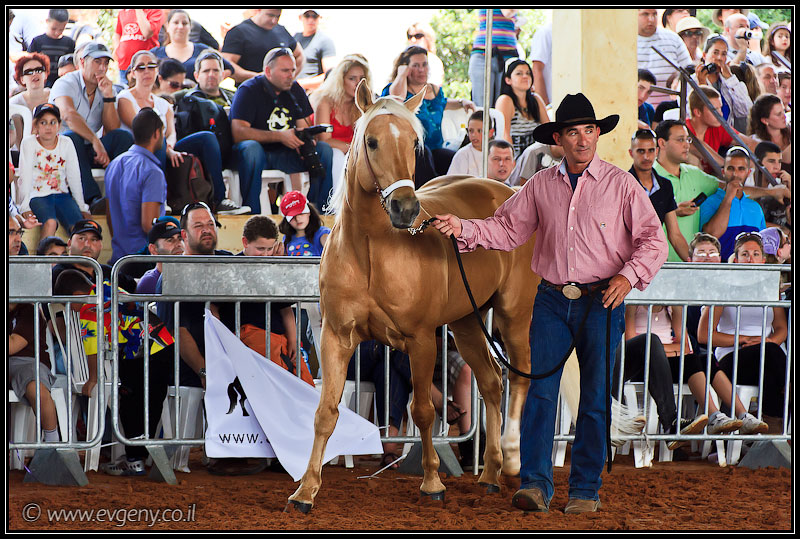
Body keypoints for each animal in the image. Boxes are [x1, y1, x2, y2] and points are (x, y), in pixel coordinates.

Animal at [287, 81, 548, 511]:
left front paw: (432, 482)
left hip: (514, 314)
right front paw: (305, 491)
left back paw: (511, 458)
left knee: (519, 376)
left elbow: (423, 411)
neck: (371, 250)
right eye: (371, 141)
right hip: (466, 324)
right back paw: (490, 474)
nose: (405, 208)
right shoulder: (336, 338)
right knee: (491, 381)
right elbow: (325, 412)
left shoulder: (421, 340)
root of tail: (510, 189)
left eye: (413, 142)